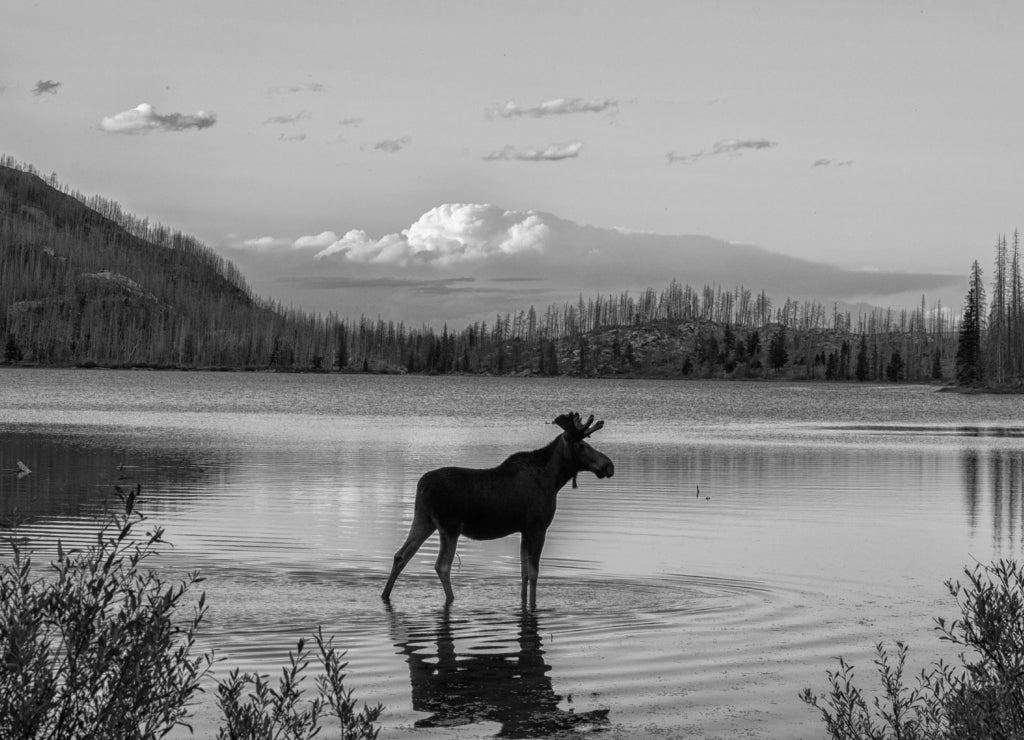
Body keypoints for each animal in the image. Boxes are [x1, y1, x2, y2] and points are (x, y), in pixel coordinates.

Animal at [381, 412, 614, 608]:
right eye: (581, 445)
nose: (609, 465)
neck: (554, 479)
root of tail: (421, 485)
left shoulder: (524, 530)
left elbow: (524, 573)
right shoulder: (538, 527)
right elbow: (534, 573)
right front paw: (532, 604)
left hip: (424, 520)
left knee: (401, 555)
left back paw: (384, 595)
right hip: (450, 526)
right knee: (442, 566)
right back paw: (452, 599)